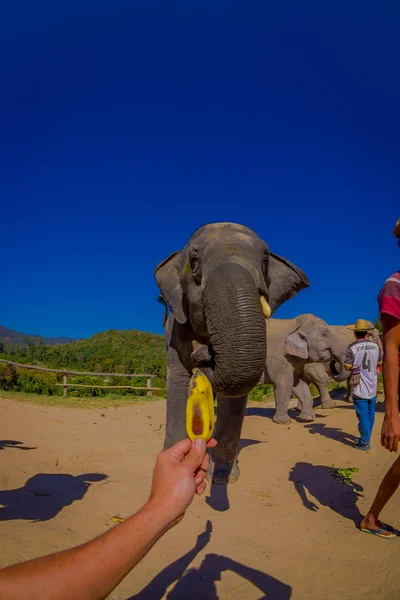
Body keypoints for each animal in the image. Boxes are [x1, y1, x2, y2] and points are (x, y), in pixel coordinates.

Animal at [154, 223, 310, 486]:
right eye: (194, 260)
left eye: (265, 259)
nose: (204, 353)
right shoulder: (175, 333)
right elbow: (178, 380)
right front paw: (176, 464)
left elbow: (236, 399)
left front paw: (222, 479)